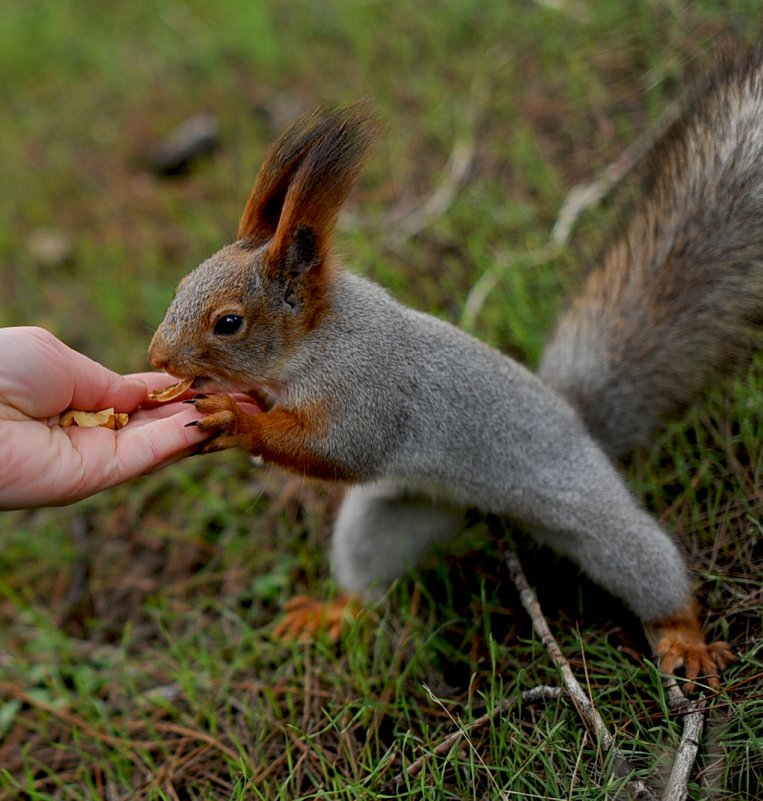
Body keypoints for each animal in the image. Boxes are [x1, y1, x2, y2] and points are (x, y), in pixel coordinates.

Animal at [143, 53, 763, 684]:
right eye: (181, 285)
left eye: (228, 323)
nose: (157, 358)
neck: (317, 342)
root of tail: (579, 420)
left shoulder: (370, 386)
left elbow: (340, 450)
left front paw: (235, 419)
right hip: (401, 513)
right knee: (370, 572)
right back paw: (335, 612)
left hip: (589, 506)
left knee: (647, 562)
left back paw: (685, 636)